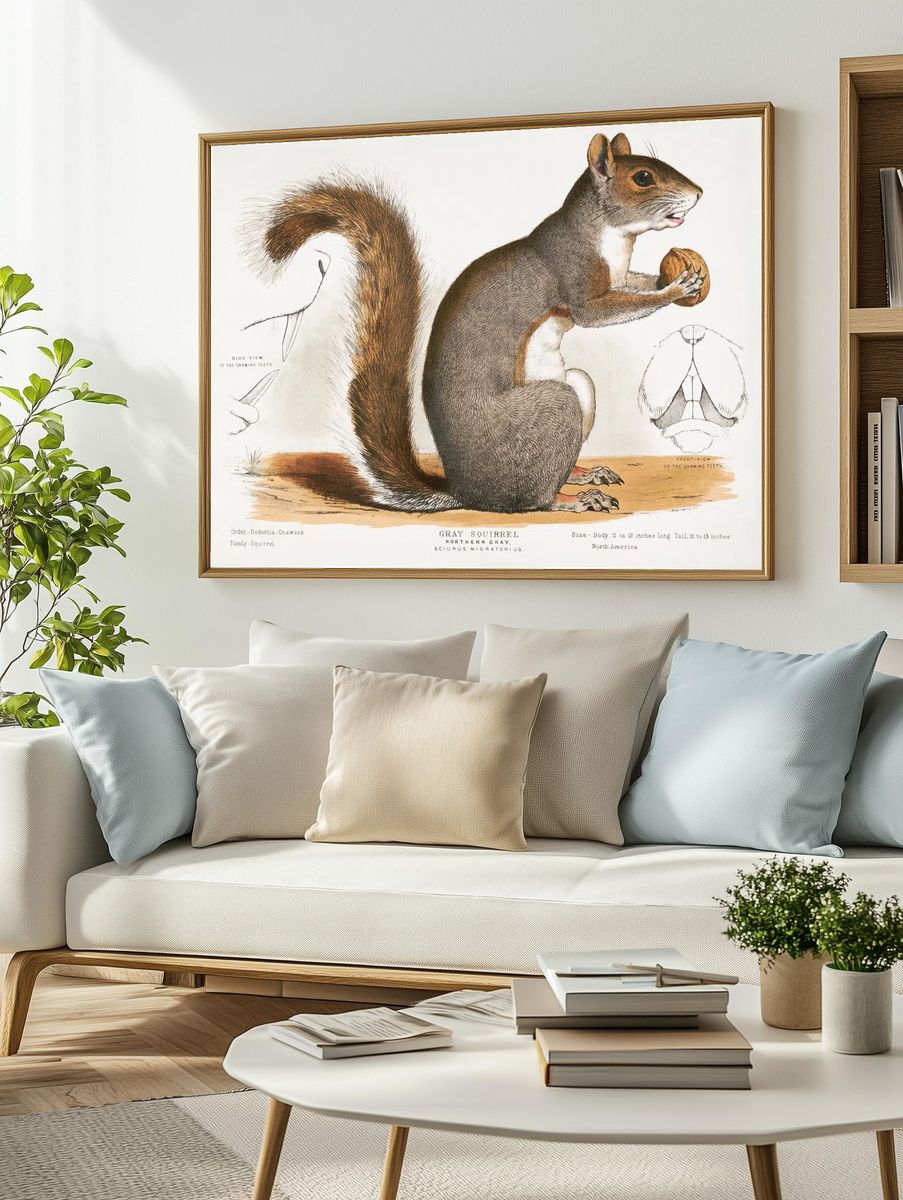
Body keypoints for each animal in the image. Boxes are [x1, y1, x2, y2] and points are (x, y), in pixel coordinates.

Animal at [262, 131, 704, 514]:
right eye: (642, 178)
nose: (698, 193)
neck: (612, 237)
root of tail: (468, 492)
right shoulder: (575, 278)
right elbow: (598, 312)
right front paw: (675, 288)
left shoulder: (618, 276)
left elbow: (635, 285)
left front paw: (671, 279)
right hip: (555, 409)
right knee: (533, 500)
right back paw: (574, 499)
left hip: (578, 387)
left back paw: (584, 473)